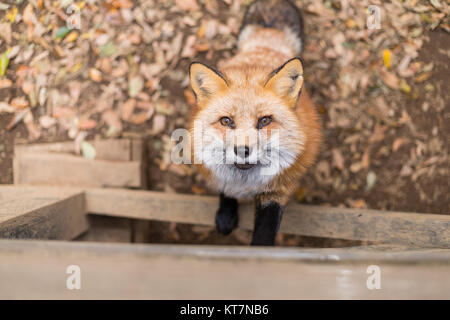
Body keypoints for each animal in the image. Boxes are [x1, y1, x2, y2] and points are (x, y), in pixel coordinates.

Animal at [188, 0, 322, 246]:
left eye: (265, 120)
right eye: (226, 121)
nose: (242, 150)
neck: (246, 183)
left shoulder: (277, 191)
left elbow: (264, 235)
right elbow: (225, 191)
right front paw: (226, 214)